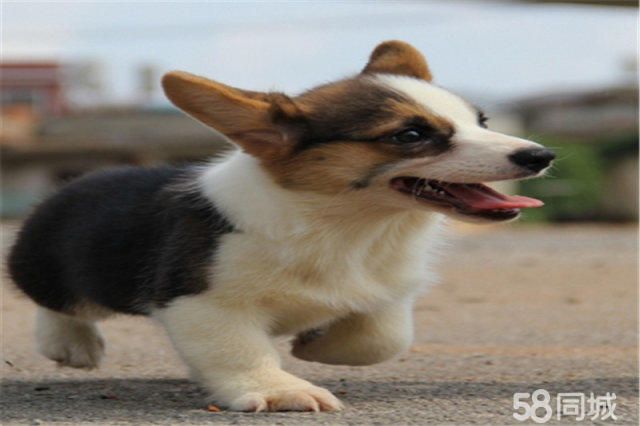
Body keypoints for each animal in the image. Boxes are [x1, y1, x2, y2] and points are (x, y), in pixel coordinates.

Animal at [7, 41, 552, 412]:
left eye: (482, 122)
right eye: (411, 135)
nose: (540, 155)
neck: (347, 225)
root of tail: (76, 182)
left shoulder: (388, 291)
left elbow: (383, 336)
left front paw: (313, 343)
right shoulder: (202, 301)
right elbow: (239, 350)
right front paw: (279, 390)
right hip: (57, 269)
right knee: (57, 302)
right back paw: (71, 345)